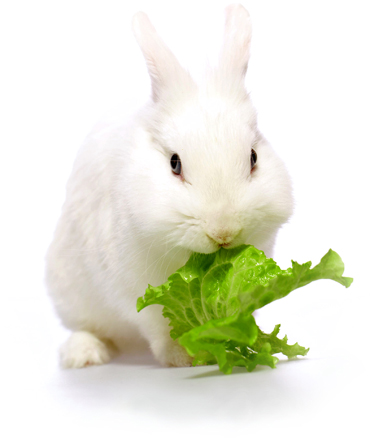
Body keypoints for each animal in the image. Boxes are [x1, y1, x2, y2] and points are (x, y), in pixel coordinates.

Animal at [44, 4, 292, 370]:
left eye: (253, 157)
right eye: (175, 164)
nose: (223, 232)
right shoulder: (133, 287)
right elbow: (157, 324)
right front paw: (183, 356)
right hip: (70, 294)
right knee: (86, 327)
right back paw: (85, 354)